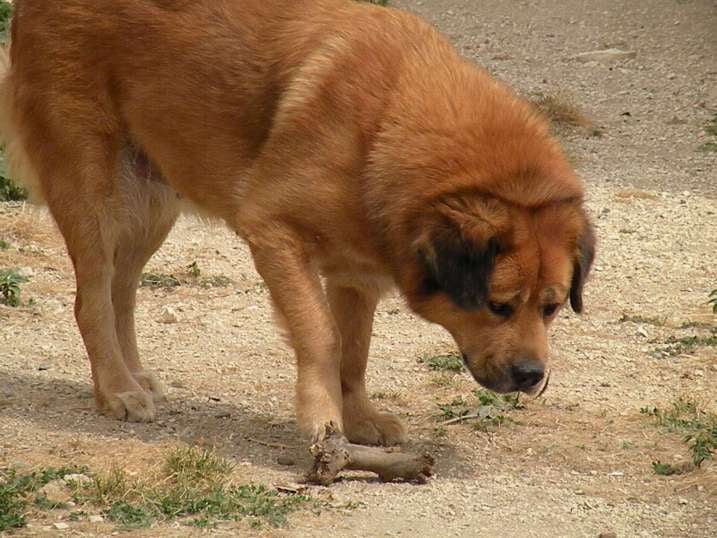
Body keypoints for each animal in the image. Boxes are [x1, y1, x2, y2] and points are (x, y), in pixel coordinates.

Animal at [0, 0, 592, 444]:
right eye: (498, 306)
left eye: (552, 308)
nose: (532, 376)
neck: (385, 126)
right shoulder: (273, 233)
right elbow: (322, 336)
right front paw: (322, 419)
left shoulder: (356, 274)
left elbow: (355, 352)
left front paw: (359, 420)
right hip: (91, 192)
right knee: (92, 299)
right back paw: (116, 389)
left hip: (152, 204)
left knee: (121, 291)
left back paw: (132, 375)